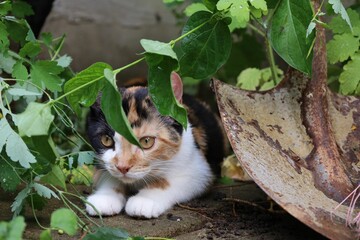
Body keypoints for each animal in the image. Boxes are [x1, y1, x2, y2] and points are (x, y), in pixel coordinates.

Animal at [85, 71, 224, 218]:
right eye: (106, 140)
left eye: (146, 141)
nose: (122, 167)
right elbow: (106, 173)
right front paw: (105, 198)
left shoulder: (200, 170)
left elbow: (172, 180)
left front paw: (144, 201)